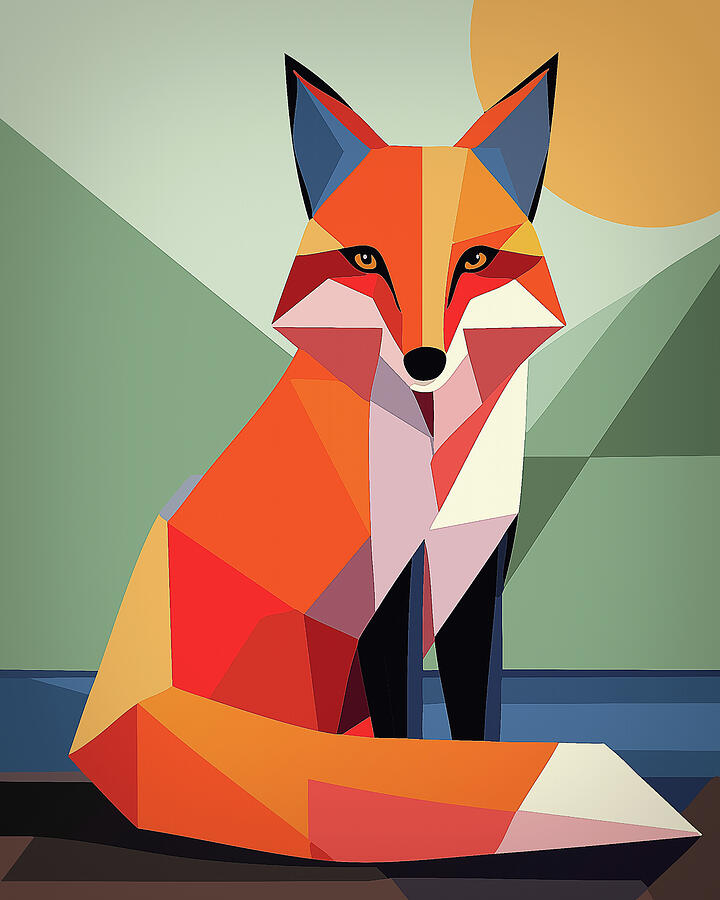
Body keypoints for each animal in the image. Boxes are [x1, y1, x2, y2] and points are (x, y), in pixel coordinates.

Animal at [70, 54, 691, 863]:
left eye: (476, 259)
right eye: (367, 259)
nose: (425, 361)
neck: (440, 456)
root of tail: (121, 698)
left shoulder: (477, 572)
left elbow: (477, 720)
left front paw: (466, 784)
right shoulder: (388, 582)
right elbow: (406, 735)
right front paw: (421, 800)